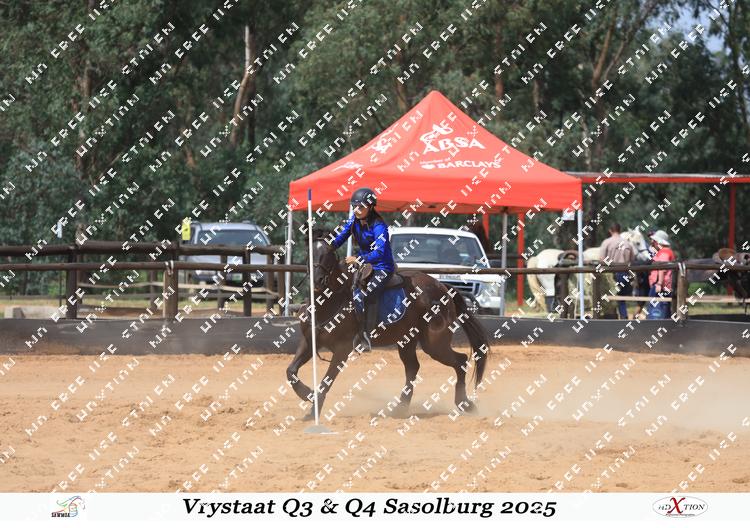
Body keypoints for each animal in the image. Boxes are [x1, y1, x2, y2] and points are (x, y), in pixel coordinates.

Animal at [286, 233, 491, 421]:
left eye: (330, 254)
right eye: (309, 253)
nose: (318, 280)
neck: (329, 303)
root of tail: (442, 287)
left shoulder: (342, 350)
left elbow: (326, 382)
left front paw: (313, 409)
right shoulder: (308, 342)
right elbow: (291, 372)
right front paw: (307, 394)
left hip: (435, 344)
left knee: (460, 360)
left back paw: (464, 403)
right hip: (407, 341)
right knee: (413, 368)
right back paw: (400, 408)